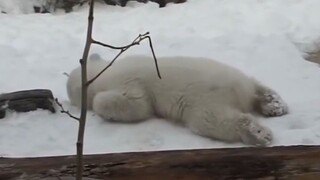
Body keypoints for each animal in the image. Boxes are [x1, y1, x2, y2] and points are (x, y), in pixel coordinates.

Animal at [67, 53, 288, 146]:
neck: (100, 73)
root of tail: (236, 91)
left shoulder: (126, 82)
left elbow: (137, 104)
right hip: (234, 75)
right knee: (254, 85)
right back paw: (274, 104)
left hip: (205, 102)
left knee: (216, 121)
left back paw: (259, 134)